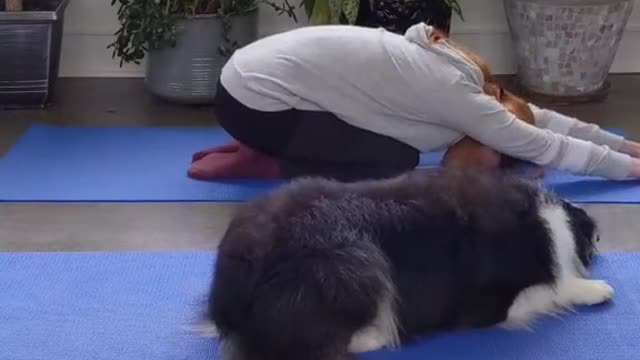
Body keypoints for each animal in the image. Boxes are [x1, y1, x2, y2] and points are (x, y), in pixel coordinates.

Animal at [206, 167, 616, 360]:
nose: (599, 234)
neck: (547, 225)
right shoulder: (491, 305)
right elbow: (553, 289)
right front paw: (595, 289)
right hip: (356, 262)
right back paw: (376, 336)